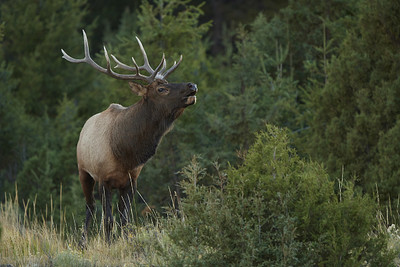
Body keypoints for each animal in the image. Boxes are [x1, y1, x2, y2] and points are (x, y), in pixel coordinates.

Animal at [60, 30, 197, 244]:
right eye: (161, 89)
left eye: (166, 83)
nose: (192, 85)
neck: (126, 153)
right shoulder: (103, 178)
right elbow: (108, 220)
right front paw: (108, 244)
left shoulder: (132, 180)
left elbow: (125, 219)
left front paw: (126, 241)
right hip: (83, 172)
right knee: (90, 207)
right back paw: (83, 241)